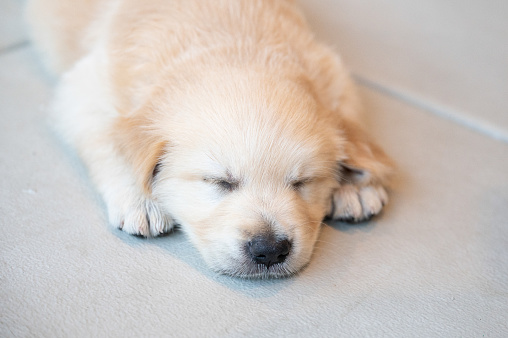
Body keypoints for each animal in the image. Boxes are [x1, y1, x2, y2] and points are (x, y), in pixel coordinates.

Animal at [25, 0, 394, 278]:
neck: (232, 45)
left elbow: (350, 118)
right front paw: (140, 198)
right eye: (219, 181)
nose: (270, 250)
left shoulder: (331, 70)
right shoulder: (84, 87)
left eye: (302, 182)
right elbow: (109, 136)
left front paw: (355, 185)